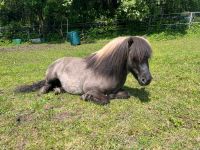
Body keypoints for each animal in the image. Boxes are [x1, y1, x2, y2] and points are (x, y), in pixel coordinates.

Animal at [15, 36, 152, 105]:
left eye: (147, 57)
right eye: (134, 58)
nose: (147, 80)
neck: (106, 71)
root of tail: (57, 61)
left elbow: (125, 94)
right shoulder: (90, 88)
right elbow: (105, 99)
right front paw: (87, 97)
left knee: (58, 87)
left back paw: (58, 90)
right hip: (50, 78)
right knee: (44, 87)